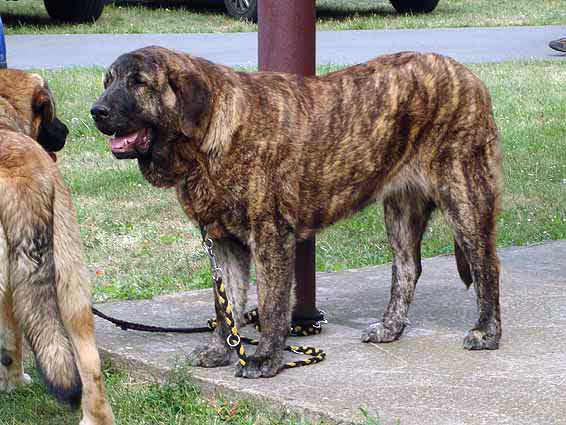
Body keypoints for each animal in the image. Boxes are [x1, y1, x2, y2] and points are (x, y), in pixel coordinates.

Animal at [91, 46, 504, 378]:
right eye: (108, 81)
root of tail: (469, 77)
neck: (207, 140)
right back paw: (390, 328)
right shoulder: (224, 243)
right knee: (406, 269)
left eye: (139, 82)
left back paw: (487, 332)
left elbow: (272, 305)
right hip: (401, 211)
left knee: (486, 265)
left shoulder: (270, 235)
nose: (97, 110)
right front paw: (222, 350)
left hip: (464, 195)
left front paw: (265, 359)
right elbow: (226, 305)